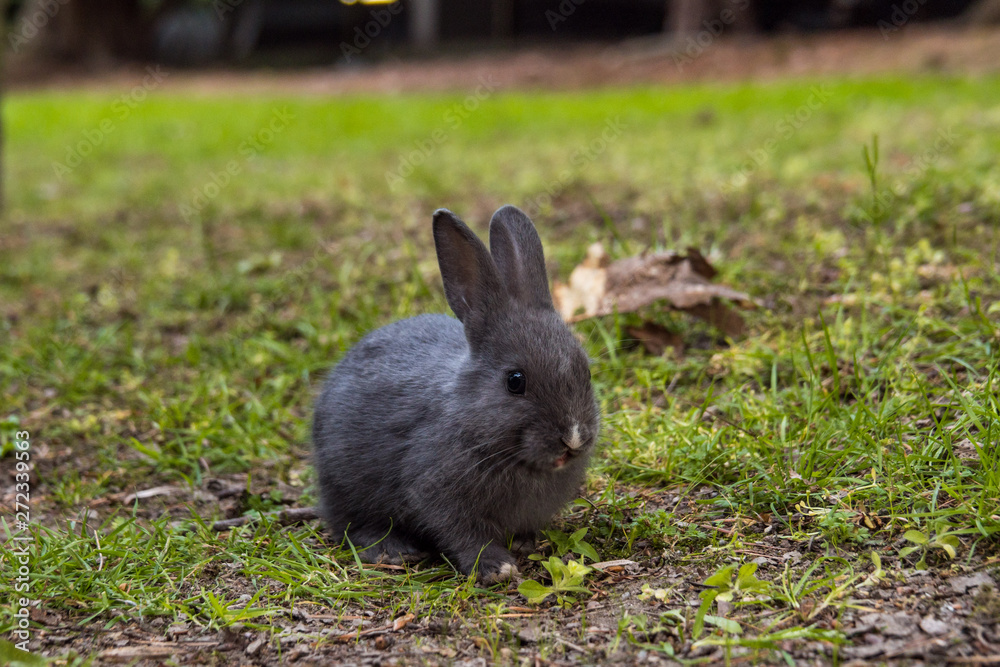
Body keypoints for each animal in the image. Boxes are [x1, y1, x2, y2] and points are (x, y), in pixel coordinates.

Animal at [312, 205, 599, 584]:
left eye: (586, 370)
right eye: (515, 381)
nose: (574, 438)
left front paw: (525, 544)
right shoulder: (436, 494)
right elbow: (463, 534)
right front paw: (497, 567)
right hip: (345, 484)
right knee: (350, 524)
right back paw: (392, 550)